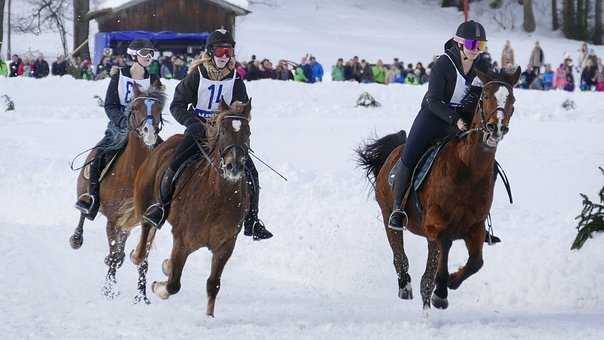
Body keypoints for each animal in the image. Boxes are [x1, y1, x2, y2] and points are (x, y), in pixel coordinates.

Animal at [69, 80, 165, 298]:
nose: (149, 132)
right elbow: (113, 254)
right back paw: (77, 238)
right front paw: (109, 291)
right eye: (135, 108)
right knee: (84, 213)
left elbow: (142, 259)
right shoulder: (113, 219)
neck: (135, 171)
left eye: (159, 109)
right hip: (88, 196)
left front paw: (141, 297)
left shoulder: (149, 222)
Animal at [118, 97, 252, 314]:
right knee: (146, 233)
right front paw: (158, 287)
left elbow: (213, 284)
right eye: (223, 131)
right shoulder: (182, 241)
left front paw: (208, 317)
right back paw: (137, 256)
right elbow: (173, 284)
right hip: (146, 202)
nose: (234, 166)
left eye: (247, 132)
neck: (217, 196)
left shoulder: (225, 246)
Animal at [356, 67, 520, 310]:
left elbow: (476, 262)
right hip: (388, 216)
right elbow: (443, 249)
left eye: (513, 100)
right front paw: (440, 291)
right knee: (399, 253)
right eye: (484, 96)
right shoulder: (436, 224)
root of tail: (392, 153)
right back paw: (406, 286)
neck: (468, 169)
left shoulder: (476, 227)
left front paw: (450, 282)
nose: (496, 128)